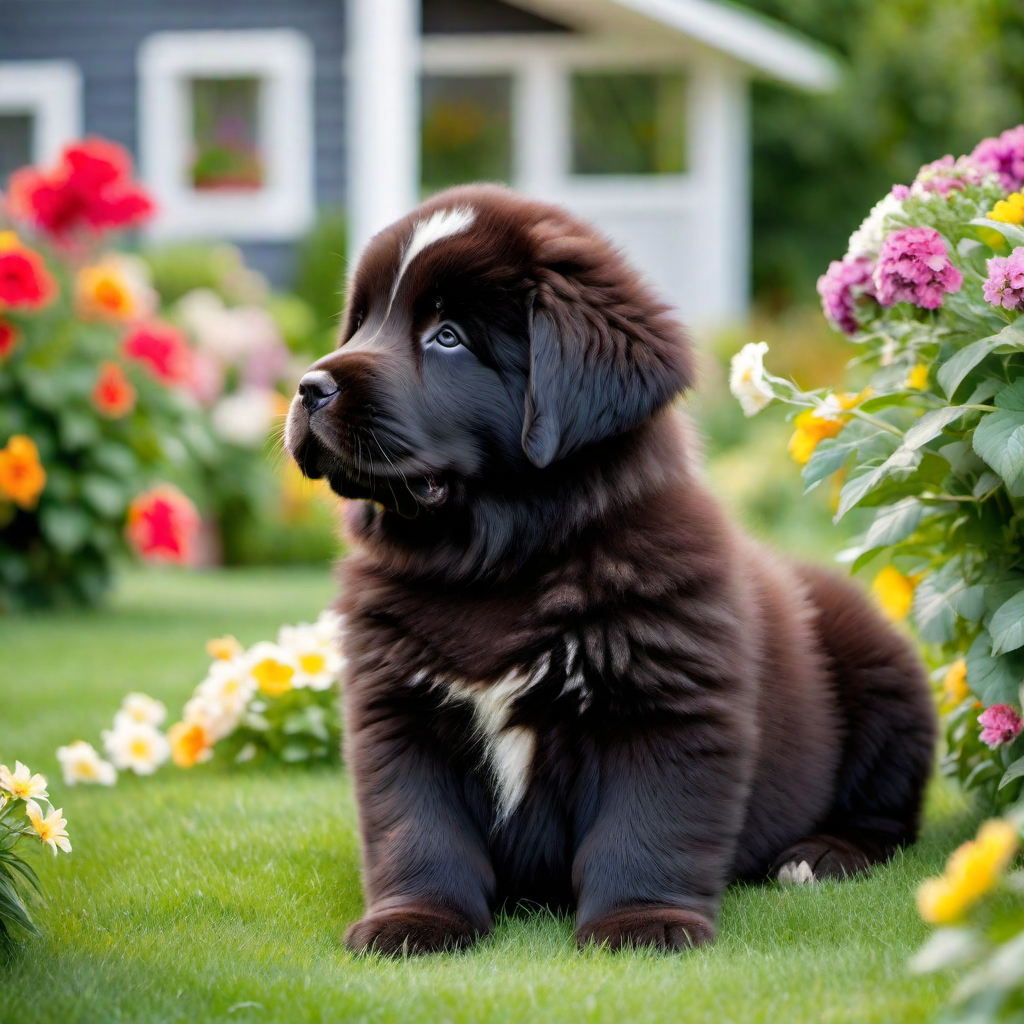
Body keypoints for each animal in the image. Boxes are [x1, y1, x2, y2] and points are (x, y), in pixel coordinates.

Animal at [286, 182, 937, 950]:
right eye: (360, 324)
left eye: (447, 337)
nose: (309, 387)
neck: (493, 564)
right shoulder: (399, 711)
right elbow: (420, 831)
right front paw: (414, 922)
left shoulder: (665, 705)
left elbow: (643, 828)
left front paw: (641, 924)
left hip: (885, 682)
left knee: (888, 815)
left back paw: (820, 856)